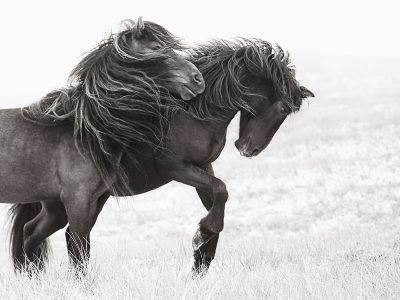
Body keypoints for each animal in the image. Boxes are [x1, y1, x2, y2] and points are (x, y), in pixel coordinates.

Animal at [1, 17, 205, 272]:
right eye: (157, 48)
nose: (198, 79)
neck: (87, 132)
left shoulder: (92, 201)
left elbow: (82, 250)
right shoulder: (77, 201)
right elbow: (79, 250)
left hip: (52, 207)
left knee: (30, 233)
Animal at [7, 39, 312, 274]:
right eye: (283, 108)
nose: (248, 148)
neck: (192, 111)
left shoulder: (203, 167)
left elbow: (217, 201)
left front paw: (201, 257)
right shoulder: (177, 169)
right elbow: (221, 192)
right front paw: (201, 240)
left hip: (65, 204)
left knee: (36, 232)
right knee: (59, 236)